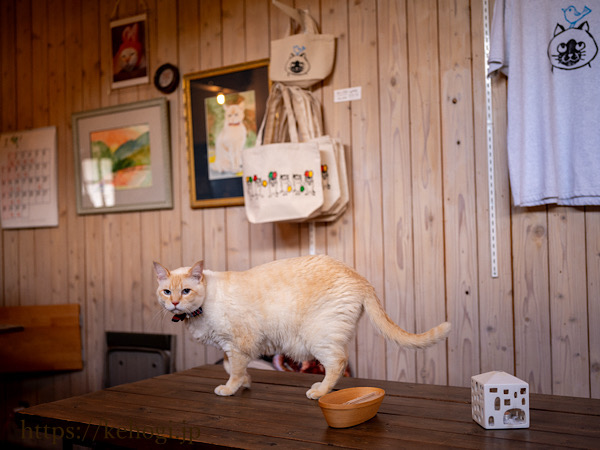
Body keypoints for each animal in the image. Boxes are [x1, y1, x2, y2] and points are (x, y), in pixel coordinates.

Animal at [155, 255, 450, 400]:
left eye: (186, 291)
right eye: (166, 291)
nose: (174, 303)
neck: (200, 310)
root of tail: (360, 278)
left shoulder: (239, 344)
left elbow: (234, 372)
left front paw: (230, 389)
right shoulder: (231, 348)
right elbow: (231, 368)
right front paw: (246, 383)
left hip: (318, 337)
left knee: (338, 362)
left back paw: (319, 392)